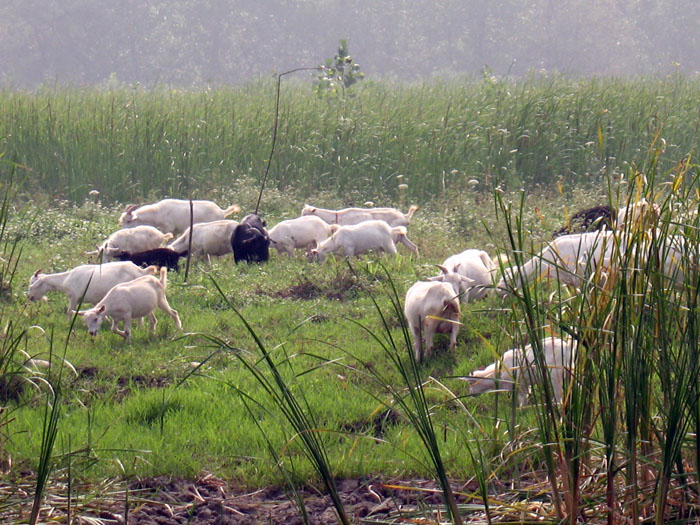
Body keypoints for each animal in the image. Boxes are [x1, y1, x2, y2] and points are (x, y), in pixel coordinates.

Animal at [27, 260, 157, 320]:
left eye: (32, 285)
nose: (30, 297)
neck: (65, 279)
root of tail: (140, 271)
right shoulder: (94, 300)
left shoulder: (74, 297)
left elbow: (69, 311)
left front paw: (68, 323)